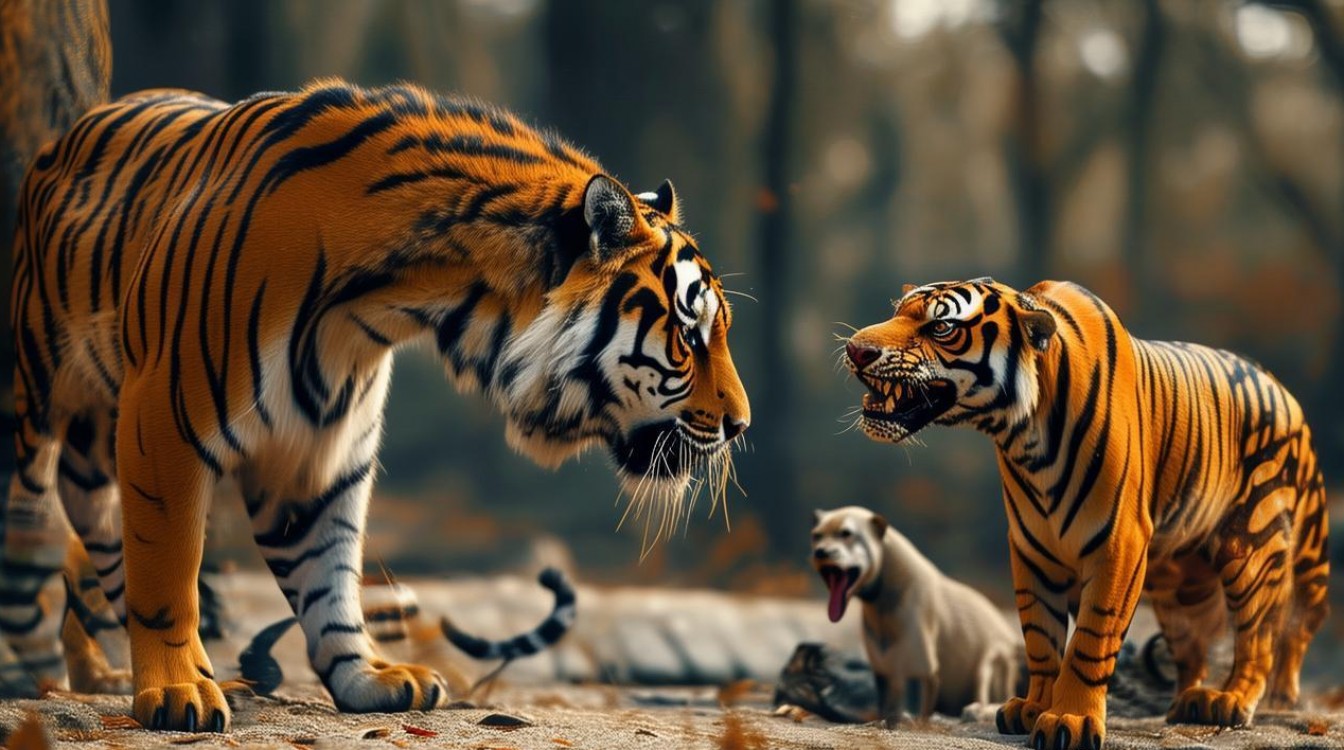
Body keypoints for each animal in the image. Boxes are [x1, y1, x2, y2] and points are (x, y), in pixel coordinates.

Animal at [5, 78, 750, 732]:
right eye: (689, 335)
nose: (741, 424)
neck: (401, 303)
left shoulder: (321, 451)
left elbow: (329, 574)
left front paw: (366, 678)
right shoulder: (166, 420)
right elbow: (168, 573)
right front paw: (177, 690)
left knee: (89, 532)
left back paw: (98, 675)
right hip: (38, 407)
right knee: (38, 527)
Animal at [842, 278, 1328, 750]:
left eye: (941, 327)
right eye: (896, 312)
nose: (856, 349)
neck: (1023, 435)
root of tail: (1285, 392)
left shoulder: (1119, 545)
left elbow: (1089, 642)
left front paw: (1070, 720)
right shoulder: (1032, 548)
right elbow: (1040, 638)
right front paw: (1034, 707)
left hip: (1254, 545)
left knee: (1264, 635)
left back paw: (1230, 700)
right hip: (1178, 585)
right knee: (1194, 648)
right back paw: (1185, 703)